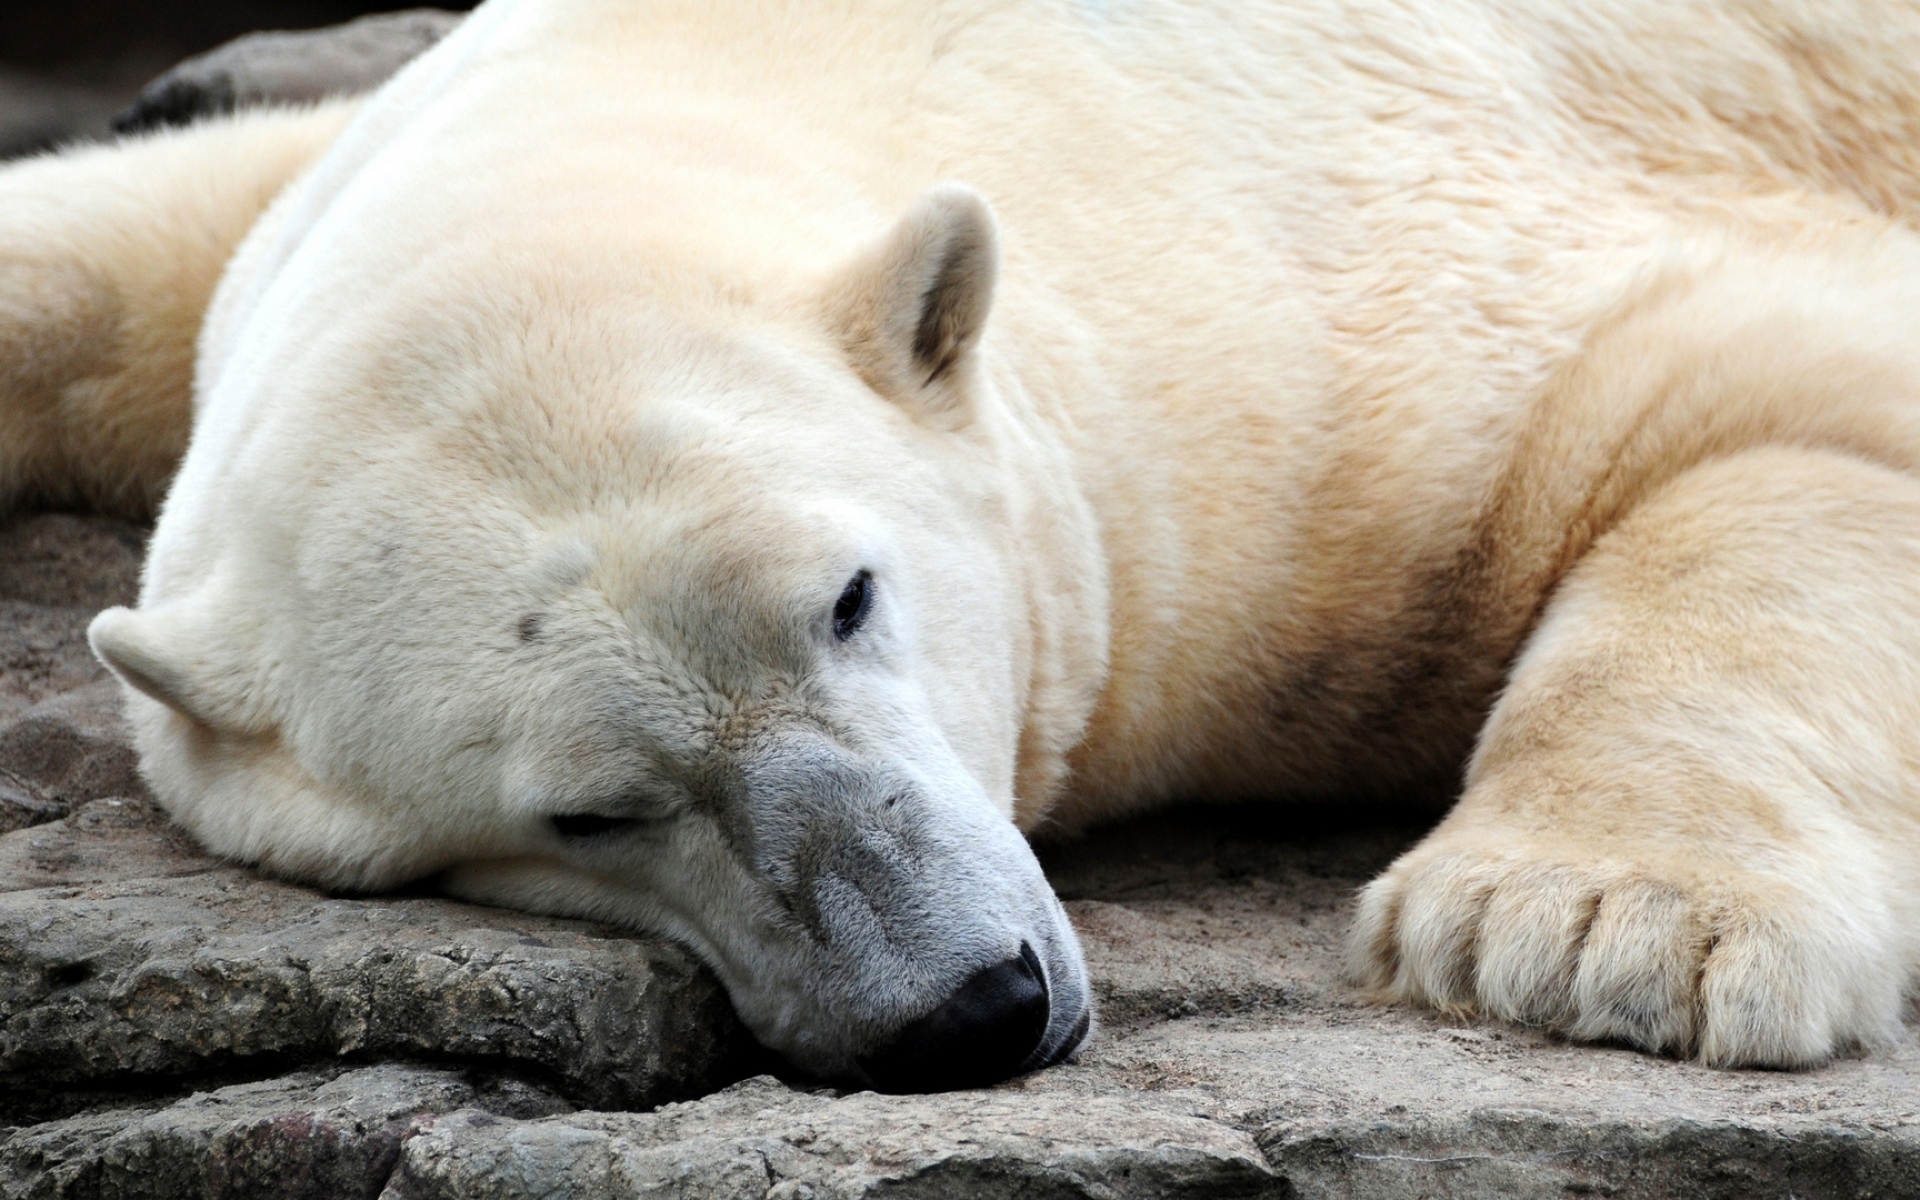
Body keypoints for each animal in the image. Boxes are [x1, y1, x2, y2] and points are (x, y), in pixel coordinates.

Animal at [6, 0, 1920, 1089]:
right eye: (587, 817)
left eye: (851, 598)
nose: (972, 1006)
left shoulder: (1332, 342)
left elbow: (1789, 399)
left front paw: (1593, 933)